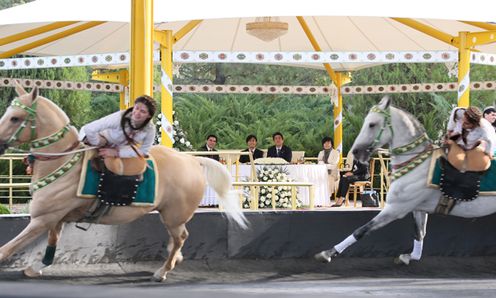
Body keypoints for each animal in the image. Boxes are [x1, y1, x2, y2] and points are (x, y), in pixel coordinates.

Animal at [0, 84, 248, 282]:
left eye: (15, 117)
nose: (0, 143)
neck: (63, 162)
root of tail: (193, 160)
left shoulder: (42, 219)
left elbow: (7, 248)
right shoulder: (55, 218)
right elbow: (51, 242)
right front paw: (36, 268)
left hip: (174, 216)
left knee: (180, 238)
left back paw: (163, 271)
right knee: (177, 240)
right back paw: (174, 259)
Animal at [316, 96, 496, 266]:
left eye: (372, 124)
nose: (356, 151)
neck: (417, 164)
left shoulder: (396, 208)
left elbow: (361, 230)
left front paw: (328, 253)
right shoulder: (417, 208)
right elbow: (419, 233)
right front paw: (409, 257)